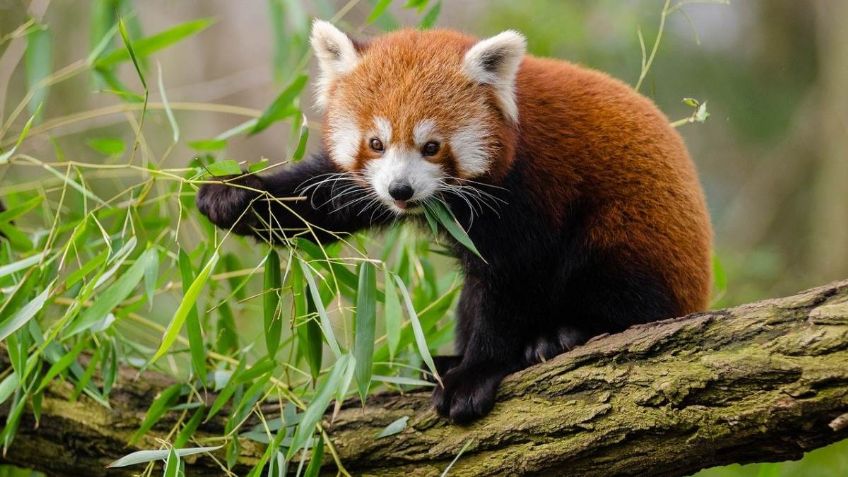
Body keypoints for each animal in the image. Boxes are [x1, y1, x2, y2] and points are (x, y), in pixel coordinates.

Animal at [195, 21, 712, 424]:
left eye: (431, 147)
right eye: (376, 143)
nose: (401, 191)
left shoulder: (529, 193)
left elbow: (510, 284)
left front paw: (476, 373)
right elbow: (322, 200)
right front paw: (233, 195)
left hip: (635, 234)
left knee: (620, 282)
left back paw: (566, 334)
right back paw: (442, 359)